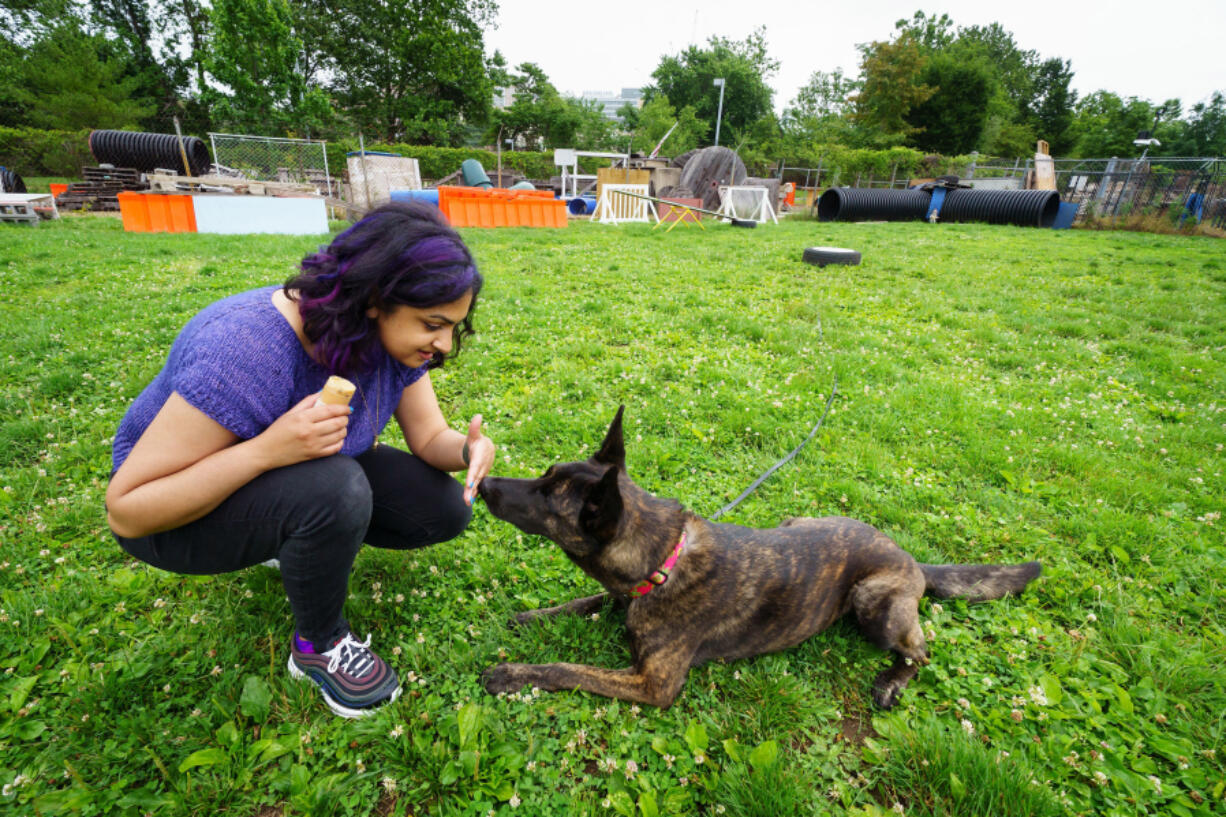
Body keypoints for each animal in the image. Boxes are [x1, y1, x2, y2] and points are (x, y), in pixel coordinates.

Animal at [473, 407, 1039, 706]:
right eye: (544, 475)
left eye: (547, 497)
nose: (485, 485)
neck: (664, 557)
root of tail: (910, 559)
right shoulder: (621, 594)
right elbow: (585, 600)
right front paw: (534, 615)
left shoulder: (653, 684)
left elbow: (567, 668)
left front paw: (513, 673)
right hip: (799, 524)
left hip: (874, 602)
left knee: (921, 653)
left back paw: (893, 680)